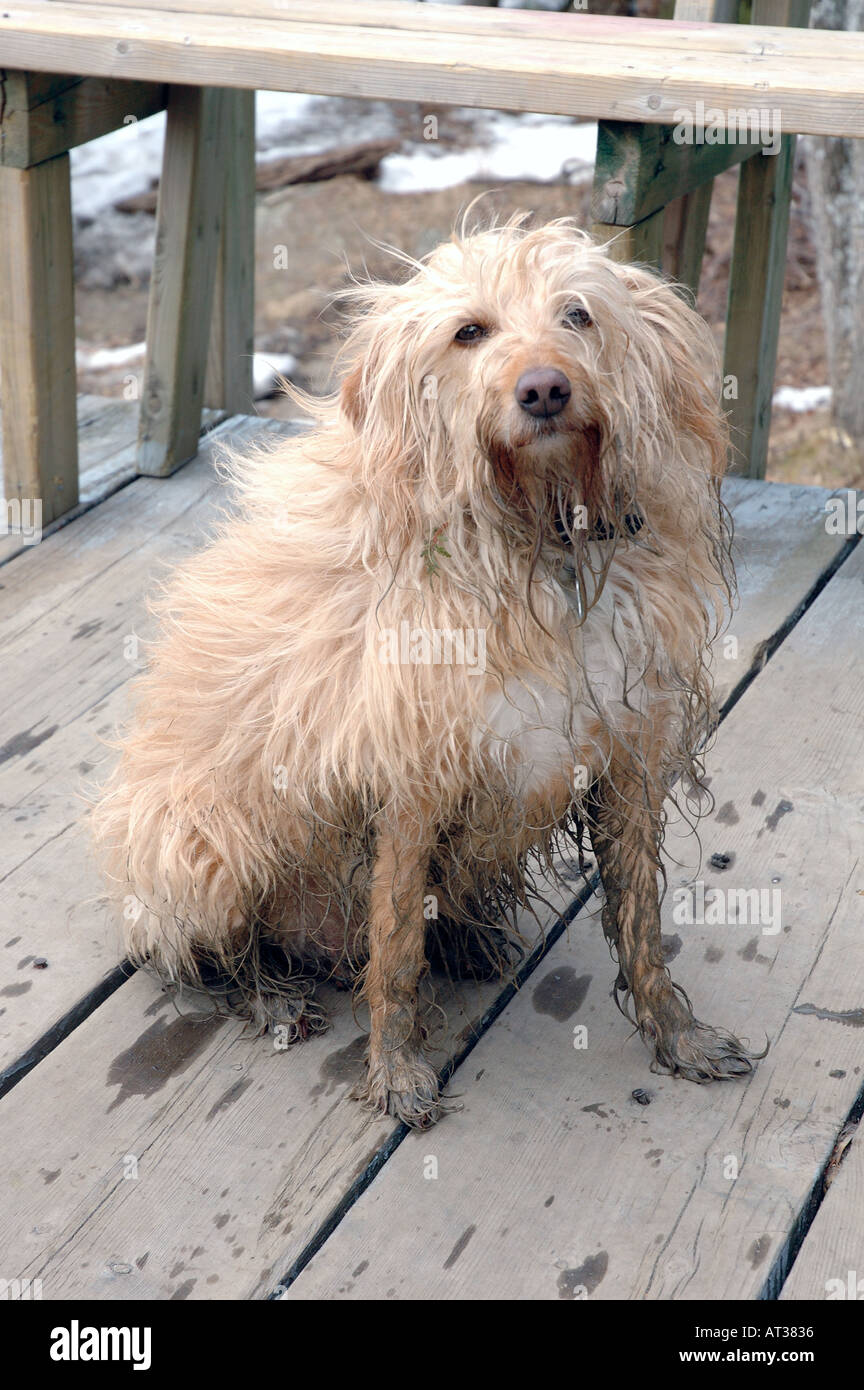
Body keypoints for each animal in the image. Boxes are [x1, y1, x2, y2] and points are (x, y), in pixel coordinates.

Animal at [91, 219, 761, 1128]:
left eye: (578, 315)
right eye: (469, 332)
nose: (544, 390)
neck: (538, 545)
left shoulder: (627, 757)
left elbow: (642, 924)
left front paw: (677, 1037)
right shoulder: (409, 780)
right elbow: (396, 944)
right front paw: (396, 1069)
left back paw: (468, 939)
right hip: (201, 842)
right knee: (191, 952)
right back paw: (264, 992)